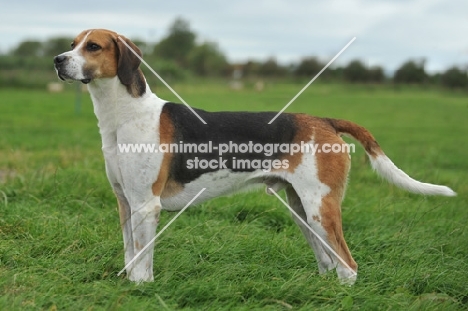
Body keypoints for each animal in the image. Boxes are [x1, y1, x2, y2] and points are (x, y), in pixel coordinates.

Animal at [53, 29, 456, 286]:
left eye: (93, 46)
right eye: (72, 44)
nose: (57, 59)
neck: (123, 115)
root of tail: (325, 120)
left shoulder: (146, 206)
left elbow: (141, 261)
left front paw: (140, 289)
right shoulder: (125, 202)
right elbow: (129, 253)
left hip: (320, 208)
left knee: (349, 265)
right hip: (302, 210)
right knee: (329, 263)